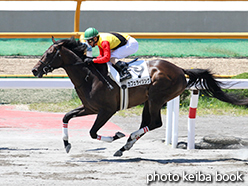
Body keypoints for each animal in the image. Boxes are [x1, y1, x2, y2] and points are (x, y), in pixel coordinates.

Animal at [32, 37, 248, 156]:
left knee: (155, 123)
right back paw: (125, 146)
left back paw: (126, 140)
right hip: (149, 101)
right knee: (148, 123)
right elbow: (66, 116)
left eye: (49, 53)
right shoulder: (89, 108)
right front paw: (67, 144)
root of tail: (180, 69)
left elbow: (93, 132)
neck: (89, 76)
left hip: (156, 98)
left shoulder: (107, 110)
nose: (34, 70)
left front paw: (116, 135)